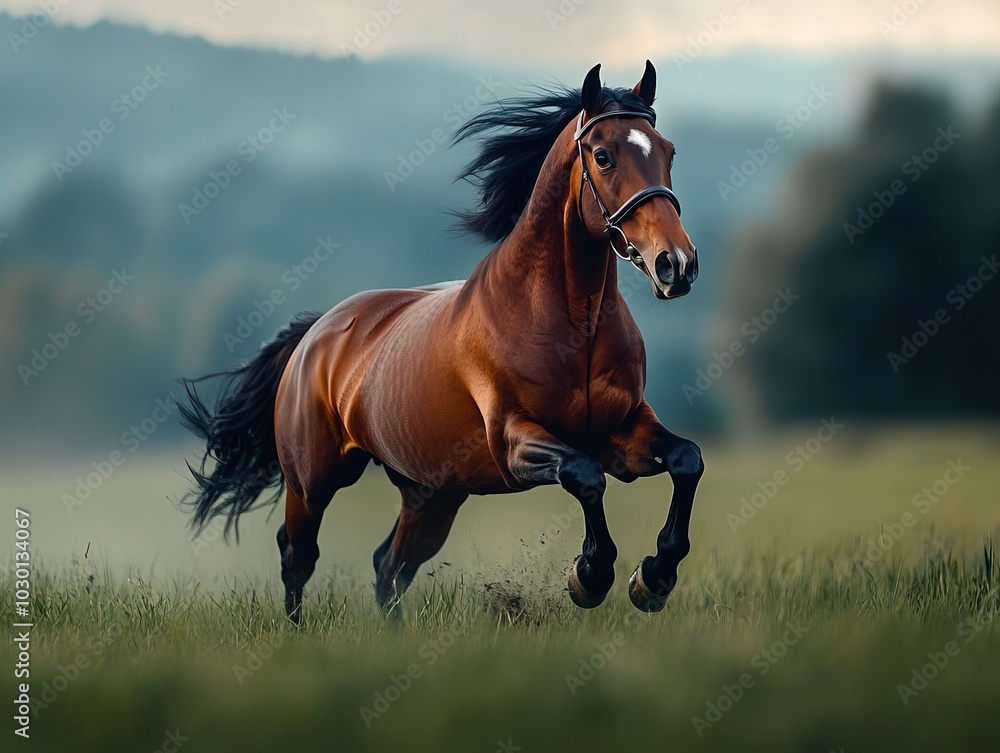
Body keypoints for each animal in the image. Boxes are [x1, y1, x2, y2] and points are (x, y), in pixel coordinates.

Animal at [178, 60, 703, 623]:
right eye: (603, 156)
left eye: (669, 151)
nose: (676, 264)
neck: (569, 325)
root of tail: (313, 336)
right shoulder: (514, 441)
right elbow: (586, 476)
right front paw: (590, 576)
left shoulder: (622, 431)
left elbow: (686, 459)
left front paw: (654, 577)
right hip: (313, 481)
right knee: (298, 555)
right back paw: (297, 631)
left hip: (431, 495)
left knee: (389, 566)